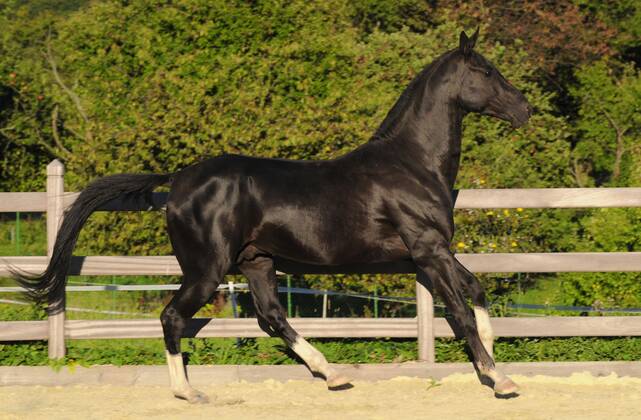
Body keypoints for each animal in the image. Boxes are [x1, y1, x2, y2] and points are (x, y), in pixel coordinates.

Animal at [13, 29, 532, 403]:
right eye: (486, 71)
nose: (525, 109)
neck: (411, 164)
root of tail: (179, 179)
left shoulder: (429, 254)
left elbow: (476, 292)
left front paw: (494, 362)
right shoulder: (428, 251)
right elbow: (460, 310)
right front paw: (500, 378)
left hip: (257, 262)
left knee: (270, 317)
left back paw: (332, 374)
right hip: (207, 270)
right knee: (172, 316)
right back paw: (187, 392)